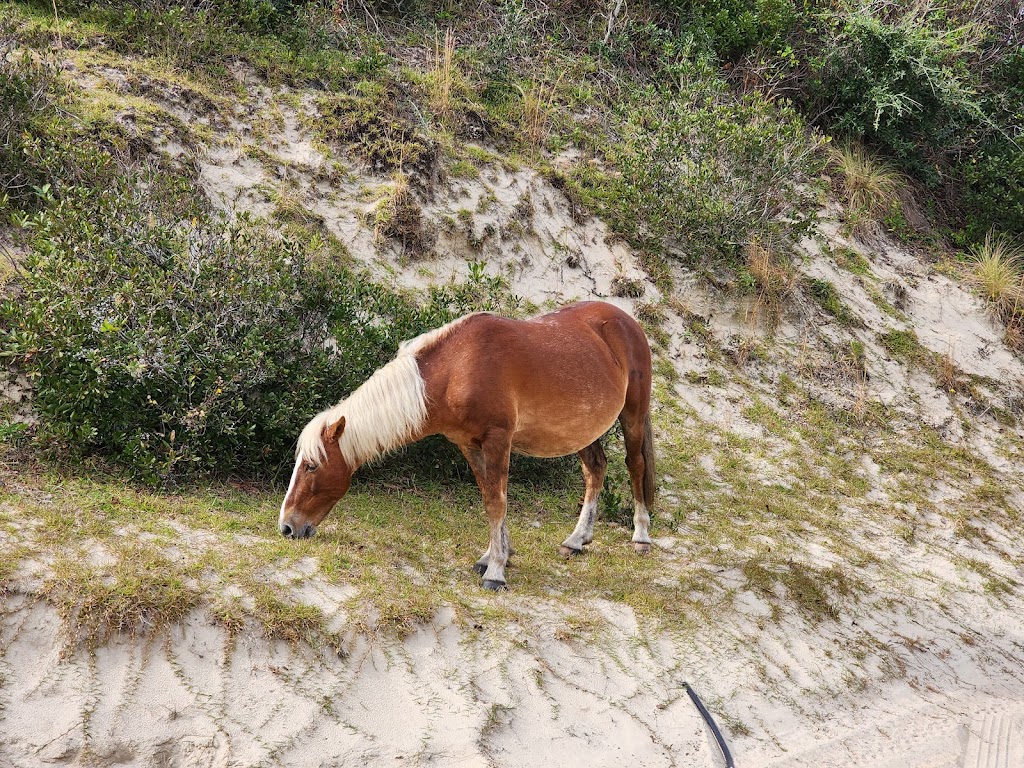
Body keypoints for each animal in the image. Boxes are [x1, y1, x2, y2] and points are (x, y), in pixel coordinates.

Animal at [276, 301, 651, 589]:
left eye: (311, 466)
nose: (287, 527)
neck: (458, 369)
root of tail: (626, 320)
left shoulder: (498, 440)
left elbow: (497, 502)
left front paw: (496, 572)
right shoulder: (469, 445)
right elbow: (489, 499)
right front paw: (494, 556)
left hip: (633, 416)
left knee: (635, 467)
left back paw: (641, 536)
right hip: (582, 431)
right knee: (595, 470)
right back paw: (577, 540)